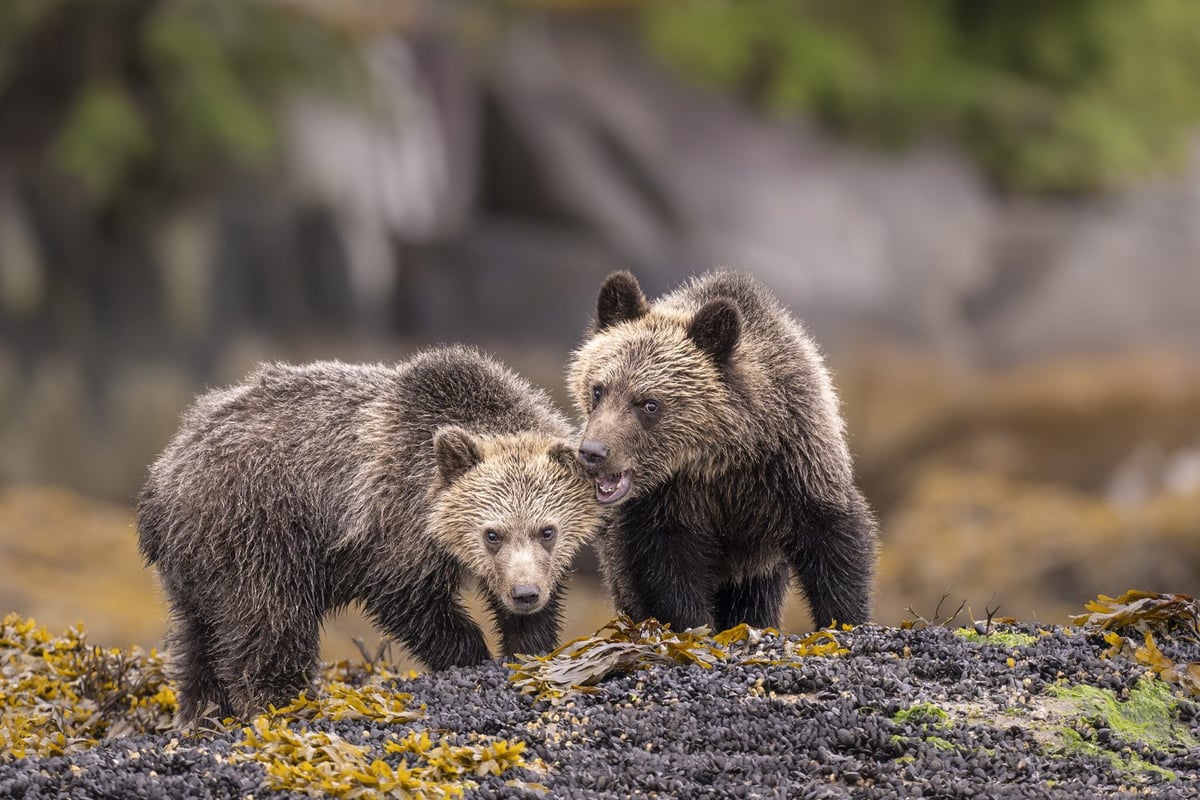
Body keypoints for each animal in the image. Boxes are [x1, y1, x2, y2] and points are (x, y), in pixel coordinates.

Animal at [137, 346, 603, 721]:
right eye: (492, 534)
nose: (524, 593)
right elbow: (411, 602)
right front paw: (472, 655)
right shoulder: (391, 529)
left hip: (195, 564)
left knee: (197, 637)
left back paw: (205, 710)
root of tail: (161, 476)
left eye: (547, 531)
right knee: (268, 618)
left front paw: (529, 645)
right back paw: (284, 700)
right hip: (254, 531)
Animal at [567, 270, 877, 632]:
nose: (593, 452)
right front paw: (696, 625)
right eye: (598, 389)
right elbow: (666, 573)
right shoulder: (665, 506)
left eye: (649, 404)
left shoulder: (793, 465)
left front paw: (844, 619)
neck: (718, 459)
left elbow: (833, 541)